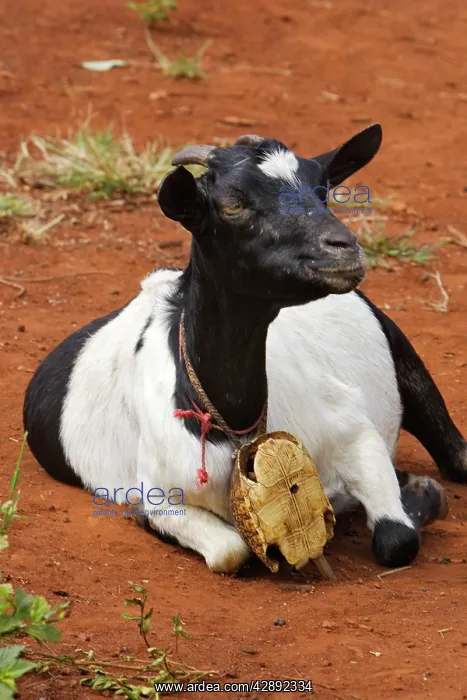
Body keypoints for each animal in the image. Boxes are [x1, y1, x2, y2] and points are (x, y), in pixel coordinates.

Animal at [23, 125, 467, 573]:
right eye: (233, 205)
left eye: (322, 191)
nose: (344, 247)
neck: (231, 425)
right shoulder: (161, 493)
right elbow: (229, 551)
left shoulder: (353, 430)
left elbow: (396, 538)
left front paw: (422, 493)